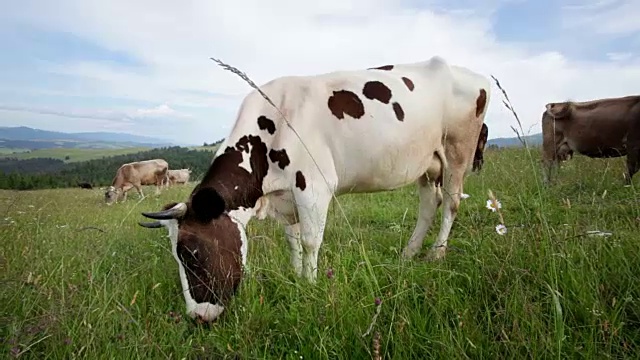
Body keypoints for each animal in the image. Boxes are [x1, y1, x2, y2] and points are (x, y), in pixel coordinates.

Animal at [139, 57, 490, 324]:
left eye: (192, 254)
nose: (197, 317)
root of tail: (474, 74)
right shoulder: (285, 197)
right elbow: (292, 240)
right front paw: (297, 276)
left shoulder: (313, 186)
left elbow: (310, 241)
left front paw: (310, 284)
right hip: (427, 164)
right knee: (430, 203)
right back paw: (409, 253)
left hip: (458, 151)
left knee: (451, 203)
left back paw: (436, 253)